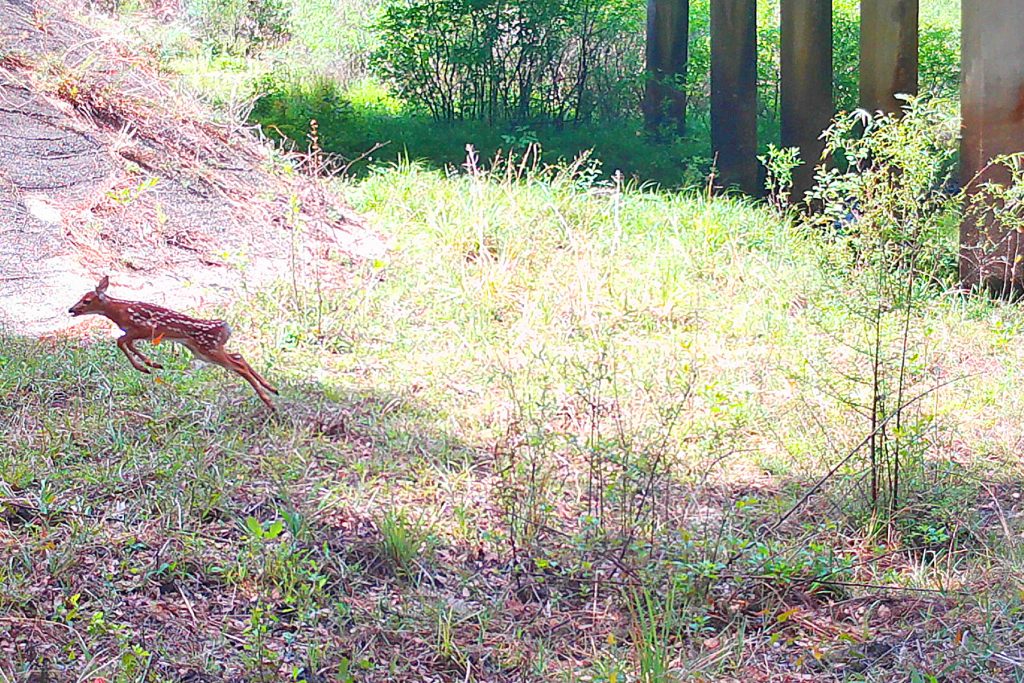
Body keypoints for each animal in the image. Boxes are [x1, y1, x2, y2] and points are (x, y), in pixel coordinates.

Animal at [68, 276, 279, 410]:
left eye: (87, 300)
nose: (71, 309)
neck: (119, 311)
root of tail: (225, 327)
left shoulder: (144, 328)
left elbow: (121, 342)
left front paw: (145, 366)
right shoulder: (137, 333)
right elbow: (128, 344)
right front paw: (151, 364)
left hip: (208, 348)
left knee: (238, 365)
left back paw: (270, 402)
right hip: (203, 350)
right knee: (238, 356)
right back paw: (272, 389)